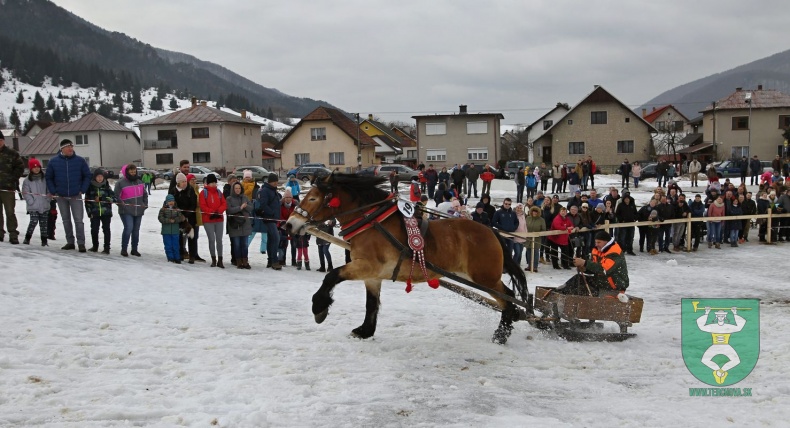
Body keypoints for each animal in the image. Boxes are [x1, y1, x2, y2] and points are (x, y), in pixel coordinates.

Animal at [282, 172, 528, 342]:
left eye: (313, 198)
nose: (289, 224)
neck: (373, 224)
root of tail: (491, 231)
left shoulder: (365, 266)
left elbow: (331, 276)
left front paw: (319, 307)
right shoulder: (372, 275)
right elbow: (371, 304)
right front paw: (365, 331)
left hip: (485, 278)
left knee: (508, 298)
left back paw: (501, 334)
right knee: (508, 299)